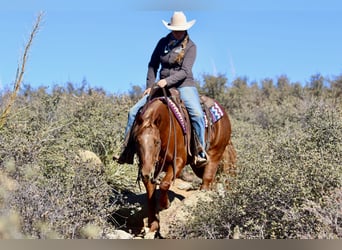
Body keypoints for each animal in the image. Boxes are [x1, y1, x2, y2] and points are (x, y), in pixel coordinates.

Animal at [128, 87, 235, 232]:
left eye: (156, 142)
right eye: (136, 141)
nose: (146, 173)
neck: (166, 127)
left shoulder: (178, 161)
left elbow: (164, 184)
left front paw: (165, 204)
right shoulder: (150, 166)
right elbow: (150, 195)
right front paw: (153, 224)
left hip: (215, 153)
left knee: (207, 179)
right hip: (198, 166)